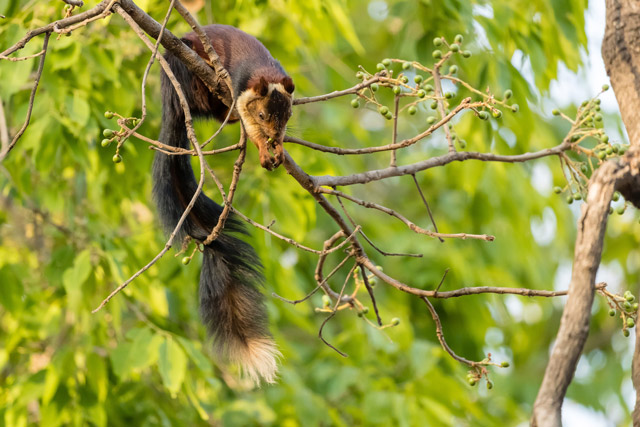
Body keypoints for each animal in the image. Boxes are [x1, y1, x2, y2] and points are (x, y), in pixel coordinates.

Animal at [153, 24, 294, 384]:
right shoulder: (239, 89)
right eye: (262, 113)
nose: (275, 137)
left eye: (288, 115)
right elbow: (248, 122)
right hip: (188, 73)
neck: (264, 72)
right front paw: (263, 149)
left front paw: (278, 149)